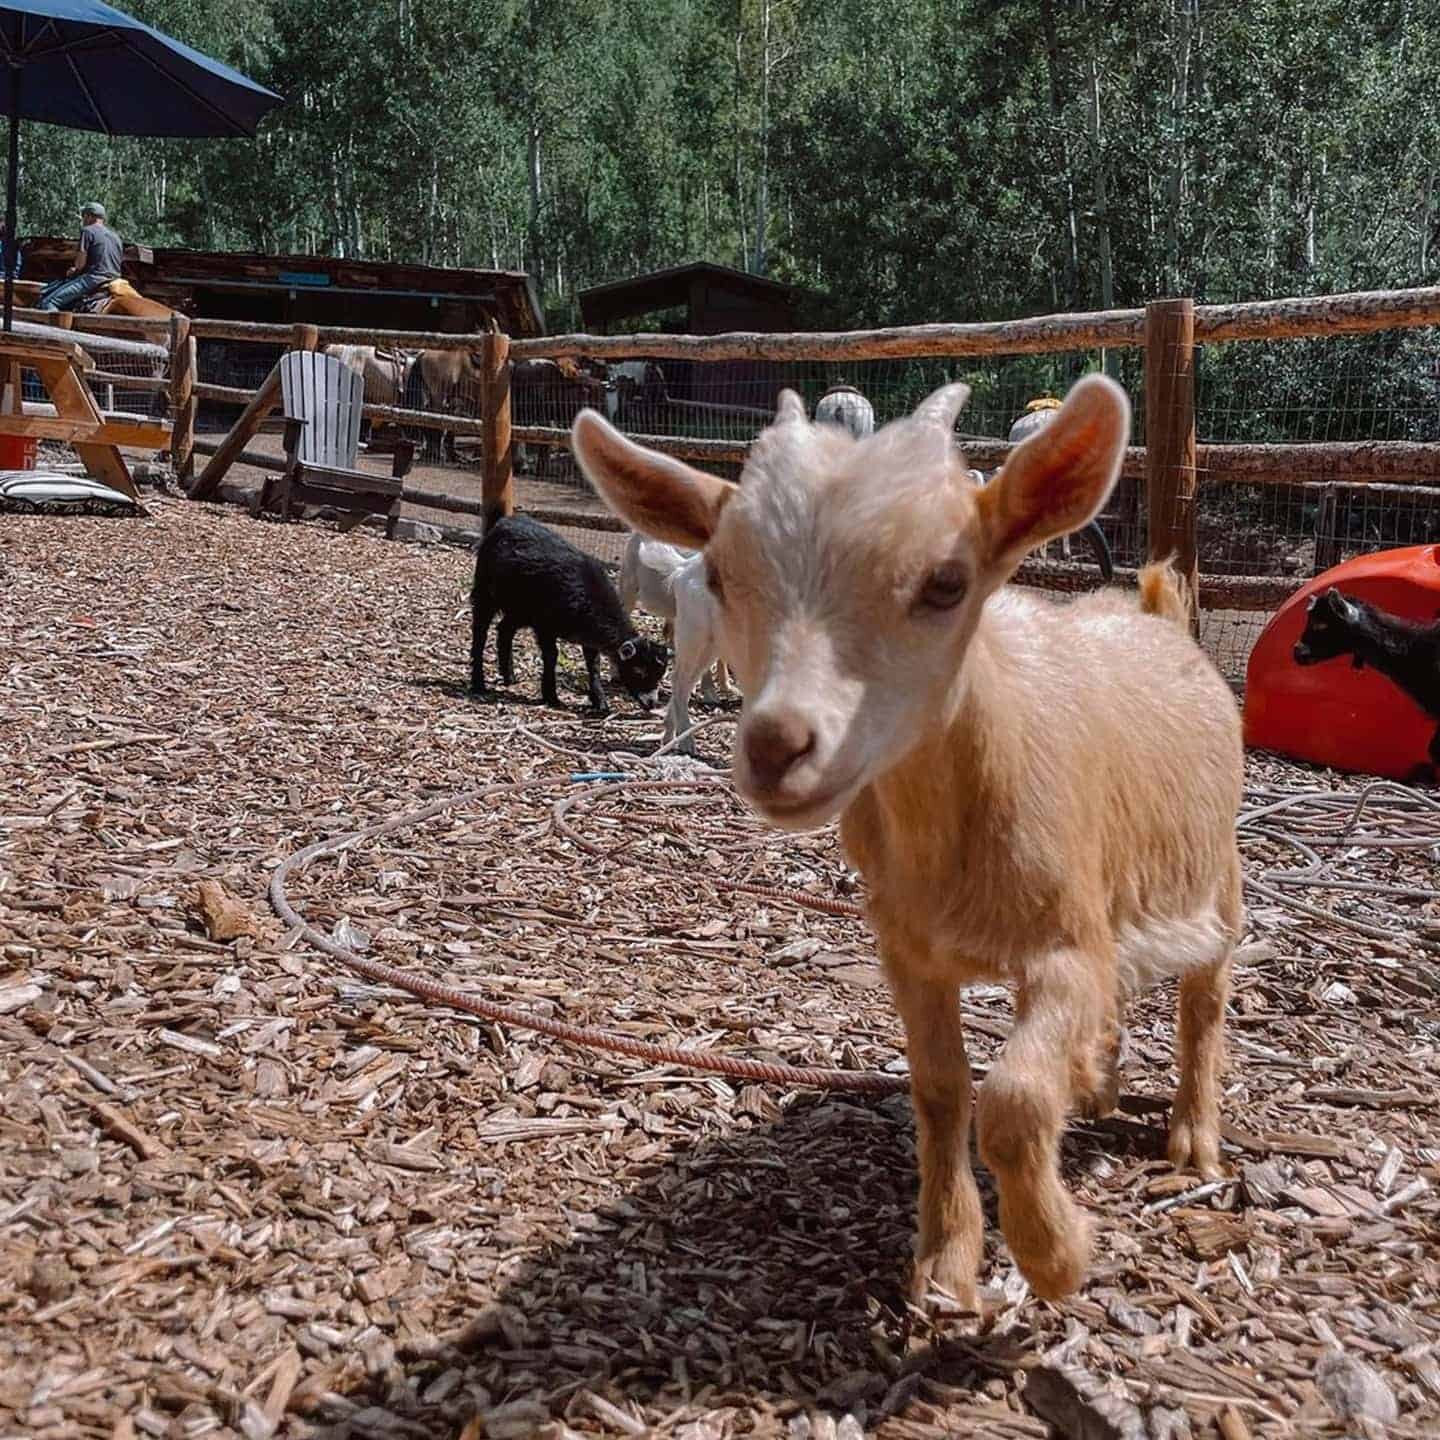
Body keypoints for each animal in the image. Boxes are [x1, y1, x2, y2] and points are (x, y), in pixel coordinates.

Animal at [471, 513, 668, 715]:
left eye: (660, 674)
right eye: (639, 672)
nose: (651, 703)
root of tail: (505, 521)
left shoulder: (588, 634)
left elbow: (593, 664)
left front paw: (600, 702)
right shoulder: (544, 625)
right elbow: (552, 655)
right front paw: (551, 696)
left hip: (520, 609)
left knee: (504, 629)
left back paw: (509, 676)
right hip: (485, 592)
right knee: (480, 633)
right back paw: (478, 683)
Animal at [619, 531, 735, 752]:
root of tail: (683, 570)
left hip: (710, 643)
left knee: (687, 680)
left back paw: (668, 737)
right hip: (694, 634)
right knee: (679, 680)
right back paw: (685, 742)